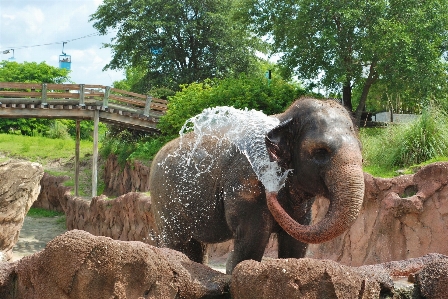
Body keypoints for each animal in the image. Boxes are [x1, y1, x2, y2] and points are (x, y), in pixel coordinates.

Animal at [148, 98, 364, 274]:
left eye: (362, 156)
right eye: (321, 152)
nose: (271, 191)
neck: (283, 118)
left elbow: (296, 244)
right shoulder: (245, 182)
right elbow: (253, 237)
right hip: (163, 198)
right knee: (177, 240)